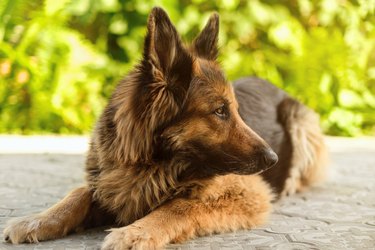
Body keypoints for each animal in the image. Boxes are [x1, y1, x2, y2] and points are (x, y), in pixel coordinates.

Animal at [2, 6, 328, 249]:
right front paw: (38, 219)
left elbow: (179, 205)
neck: (150, 163)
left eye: (235, 111)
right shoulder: (106, 182)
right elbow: (79, 194)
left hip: (301, 123)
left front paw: (137, 231)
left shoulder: (248, 195)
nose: (273, 159)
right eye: (220, 111)